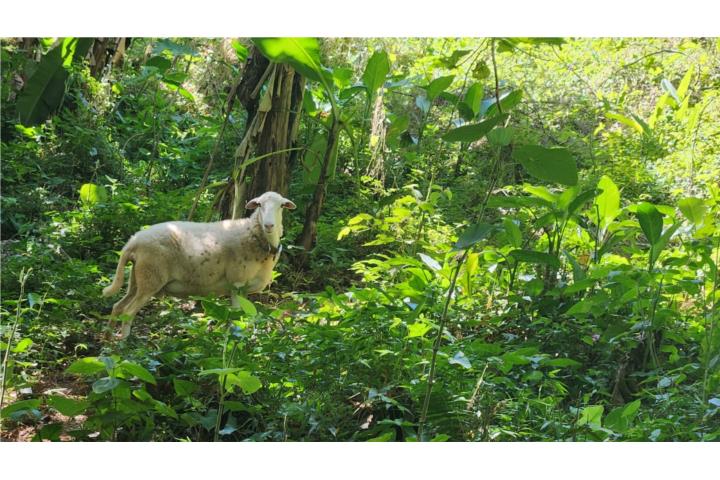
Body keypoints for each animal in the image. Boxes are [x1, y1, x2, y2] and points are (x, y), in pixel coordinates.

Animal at [102, 191, 296, 339]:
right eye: (260, 205)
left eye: (281, 206)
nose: (269, 225)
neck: (256, 236)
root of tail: (133, 242)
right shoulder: (237, 283)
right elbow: (235, 316)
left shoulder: (245, 289)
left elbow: (245, 316)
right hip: (151, 277)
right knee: (128, 312)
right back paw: (124, 345)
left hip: (138, 279)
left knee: (118, 306)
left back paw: (108, 339)